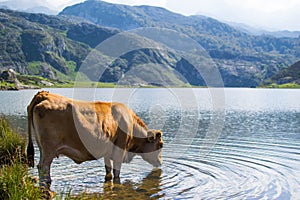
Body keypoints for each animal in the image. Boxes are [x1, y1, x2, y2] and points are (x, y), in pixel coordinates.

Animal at [27, 91, 164, 188]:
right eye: (161, 145)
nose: (160, 162)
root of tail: (45, 94)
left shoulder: (108, 152)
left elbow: (108, 171)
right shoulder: (120, 151)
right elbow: (116, 173)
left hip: (42, 148)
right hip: (49, 149)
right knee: (44, 168)